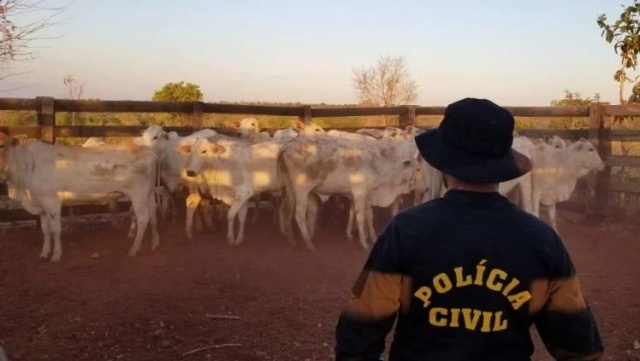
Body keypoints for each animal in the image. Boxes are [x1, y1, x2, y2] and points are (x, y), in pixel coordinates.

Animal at [0, 132, 159, 262]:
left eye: (2, 145)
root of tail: (148, 152)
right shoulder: (41, 205)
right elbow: (45, 230)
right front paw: (44, 253)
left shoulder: (52, 202)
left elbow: (55, 230)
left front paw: (56, 255)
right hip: (149, 192)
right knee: (153, 215)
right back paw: (154, 244)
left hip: (138, 194)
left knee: (143, 218)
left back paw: (134, 250)